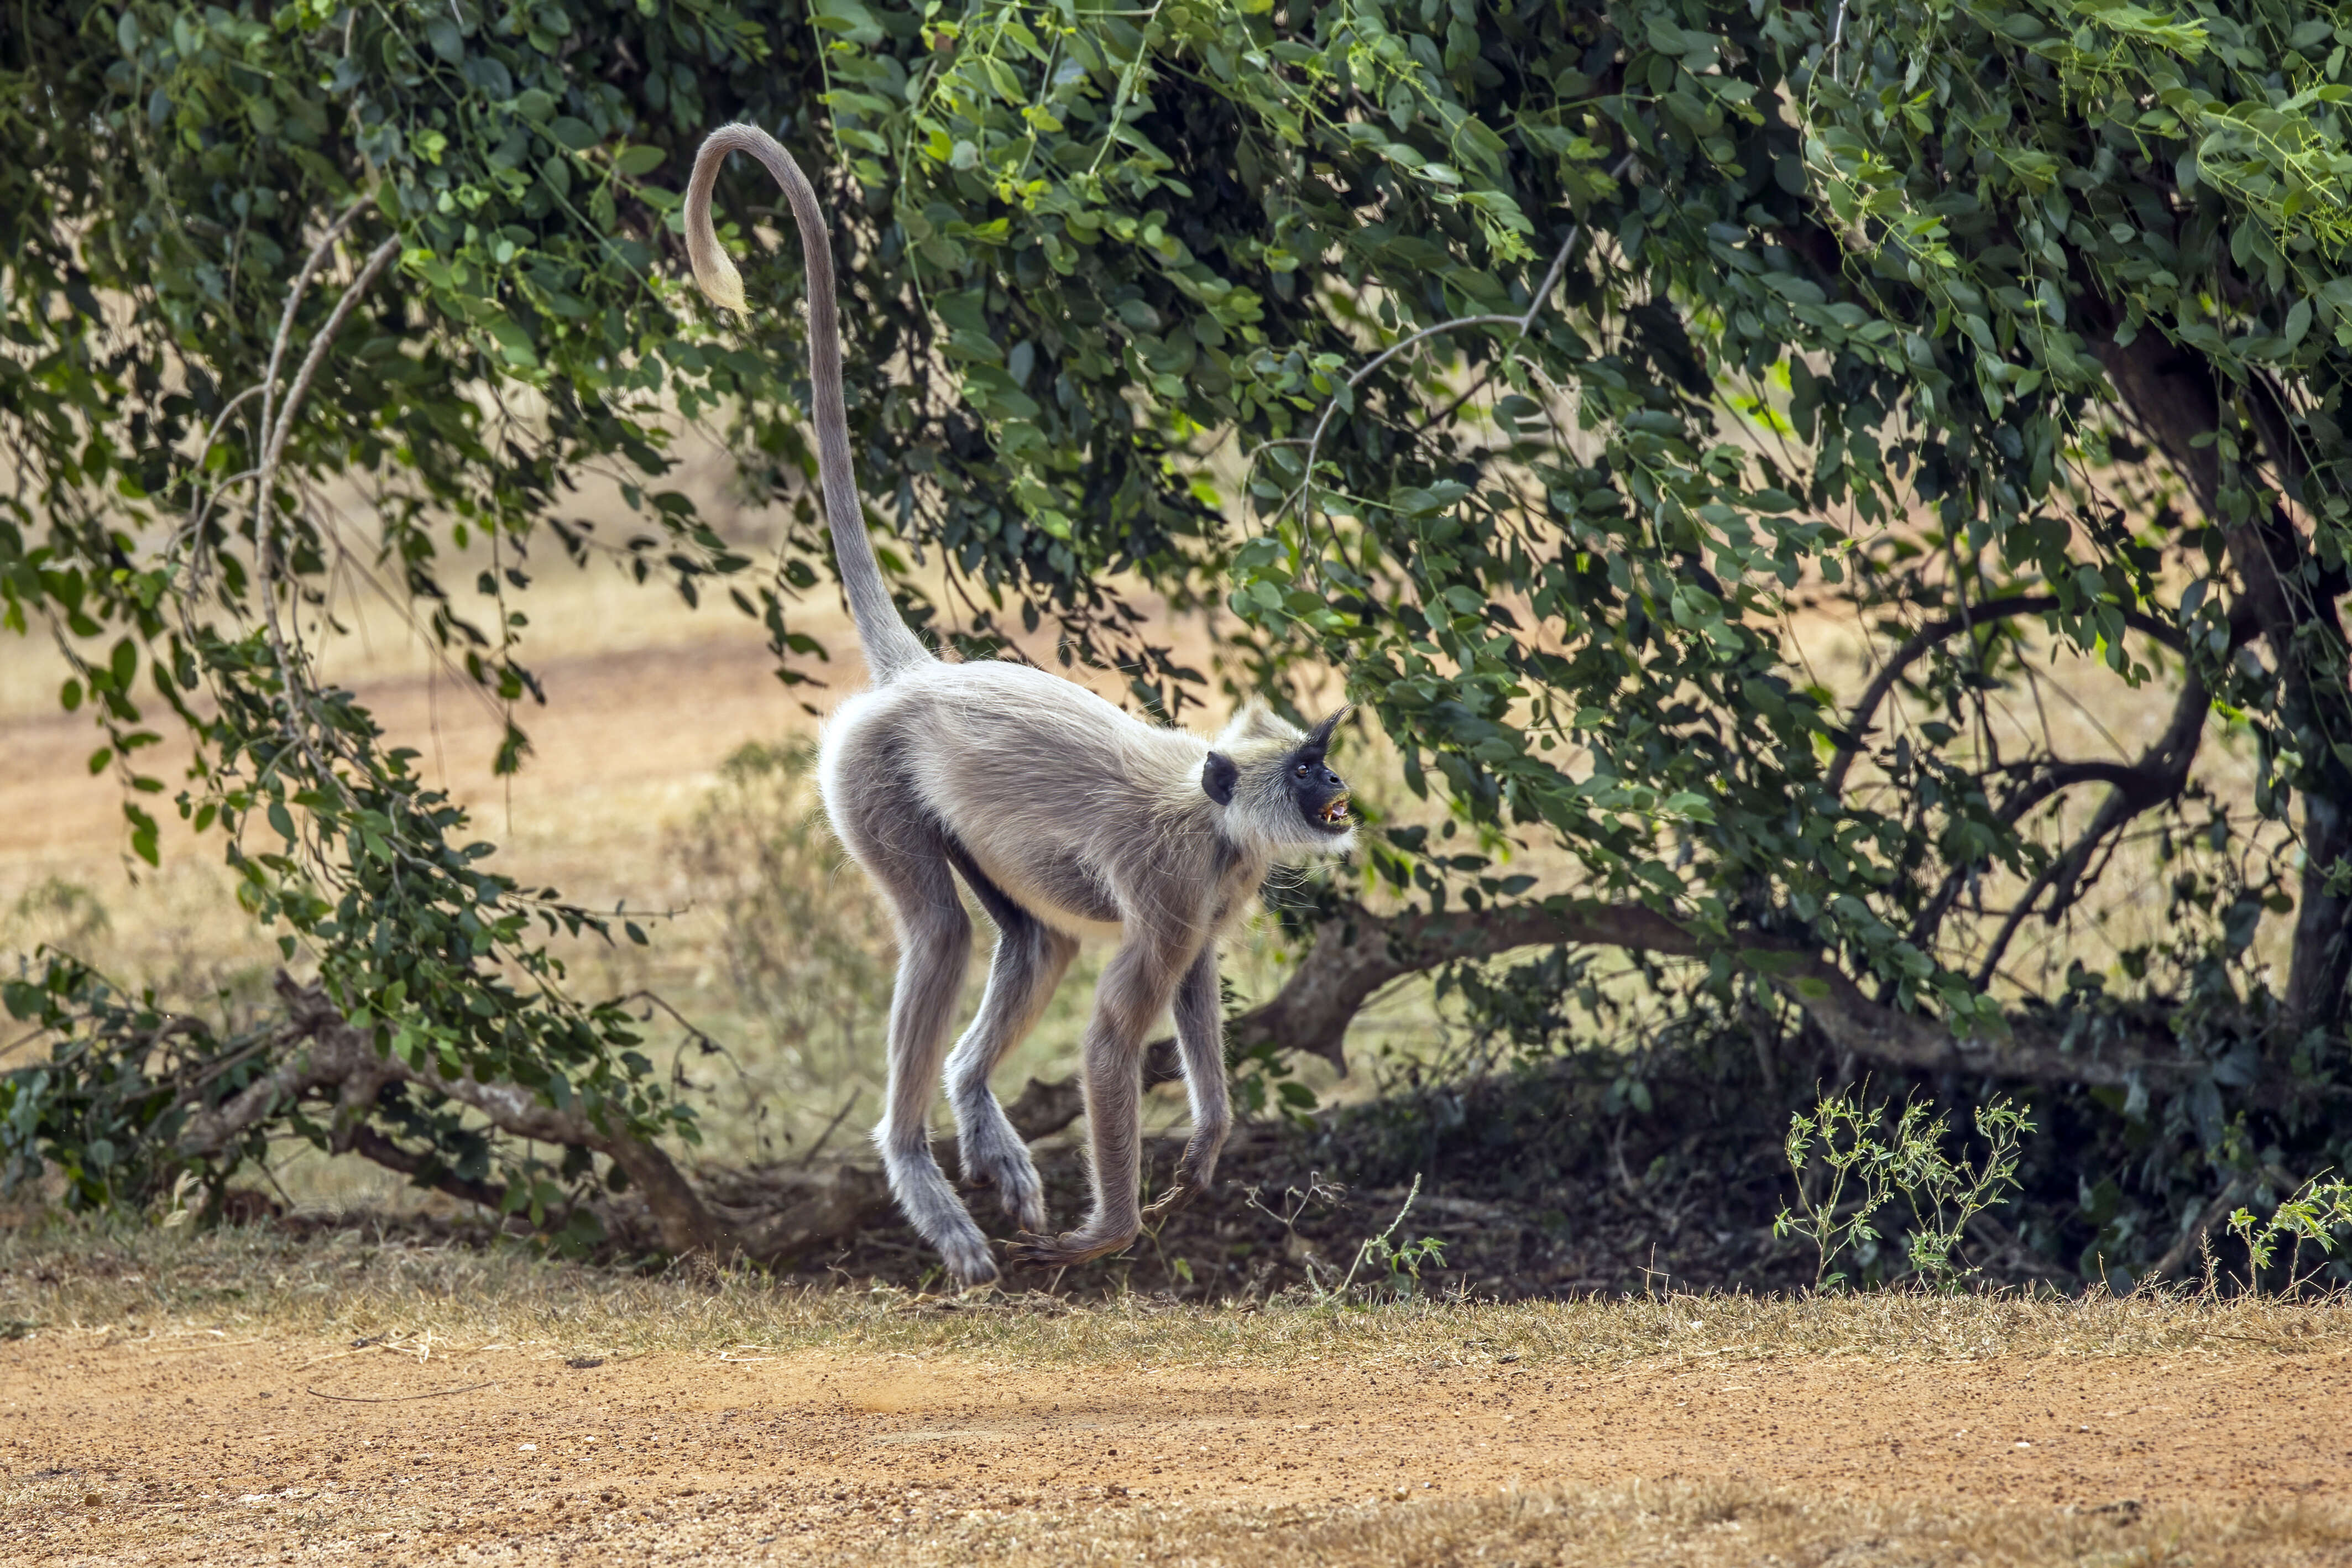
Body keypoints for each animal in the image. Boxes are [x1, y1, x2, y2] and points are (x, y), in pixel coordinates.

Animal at [682, 126, 1355, 1288]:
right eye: (1306, 765)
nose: (1339, 785)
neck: (1217, 814)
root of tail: (918, 678)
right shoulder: (1172, 883)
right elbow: (1111, 1039)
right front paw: (1110, 1232)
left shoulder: (1216, 893)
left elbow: (1194, 988)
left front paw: (1209, 1138)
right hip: (866, 781)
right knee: (941, 933)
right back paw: (918, 1165)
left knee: (1034, 942)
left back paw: (973, 1108)